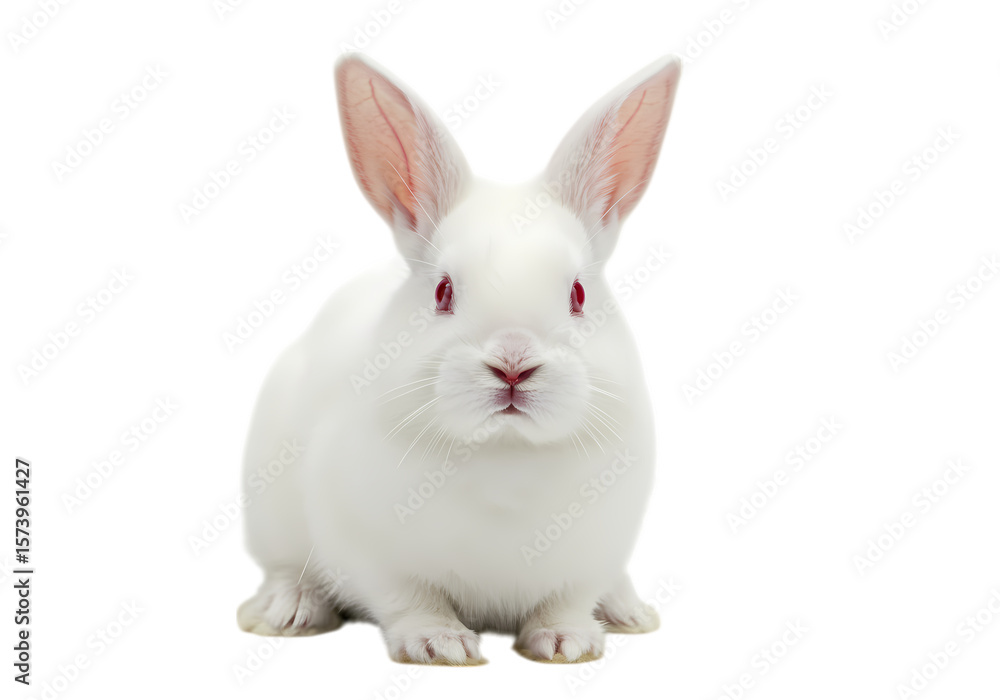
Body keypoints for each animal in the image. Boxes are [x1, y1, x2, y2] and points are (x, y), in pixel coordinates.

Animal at [237, 51, 682, 665]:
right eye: (443, 290)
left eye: (577, 293)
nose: (513, 363)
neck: (505, 455)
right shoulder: (370, 554)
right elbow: (409, 599)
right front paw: (439, 645)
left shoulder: (592, 557)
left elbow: (567, 599)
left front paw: (566, 642)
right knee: (285, 568)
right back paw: (288, 610)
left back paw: (628, 612)